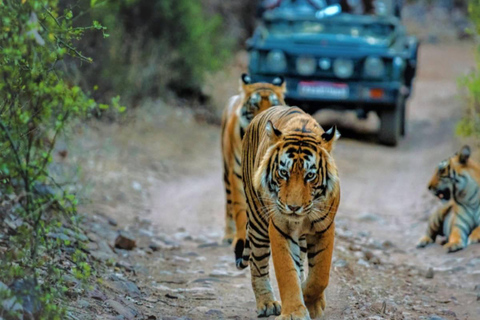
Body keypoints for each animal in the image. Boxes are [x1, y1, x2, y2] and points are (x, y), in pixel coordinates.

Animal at [221, 74, 284, 245]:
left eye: (274, 104)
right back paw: (228, 235)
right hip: (226, 172)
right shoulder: (236, 174)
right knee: (229, 204)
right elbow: (240, 209)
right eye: (255, 104)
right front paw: (240, 238)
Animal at [238, 106, 340, 318]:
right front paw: (295, 311)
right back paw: (267, 303)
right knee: (258, 263)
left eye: (310, 175)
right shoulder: (280, 228)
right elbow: (287, 272)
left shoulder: (325, 228)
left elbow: (320, 275)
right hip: (258, 221)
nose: (293, 207)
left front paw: (312, 301)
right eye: (283, 173)